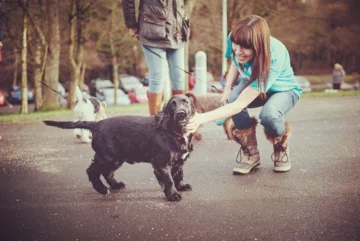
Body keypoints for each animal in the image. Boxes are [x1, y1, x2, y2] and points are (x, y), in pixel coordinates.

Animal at [45, 94, 198, 201]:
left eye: (186, 102)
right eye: (172, 105)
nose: (181, 113)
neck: (174, 131)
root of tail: (96, 124)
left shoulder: (178, 161)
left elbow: (178, 175)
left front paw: (181, 187)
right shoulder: (161, 162)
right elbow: (169, 180)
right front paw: (173, 195)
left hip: (114, 158)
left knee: (106, 173)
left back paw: (115, 185)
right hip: (109, 158)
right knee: (92, 171)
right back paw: (101, 189)